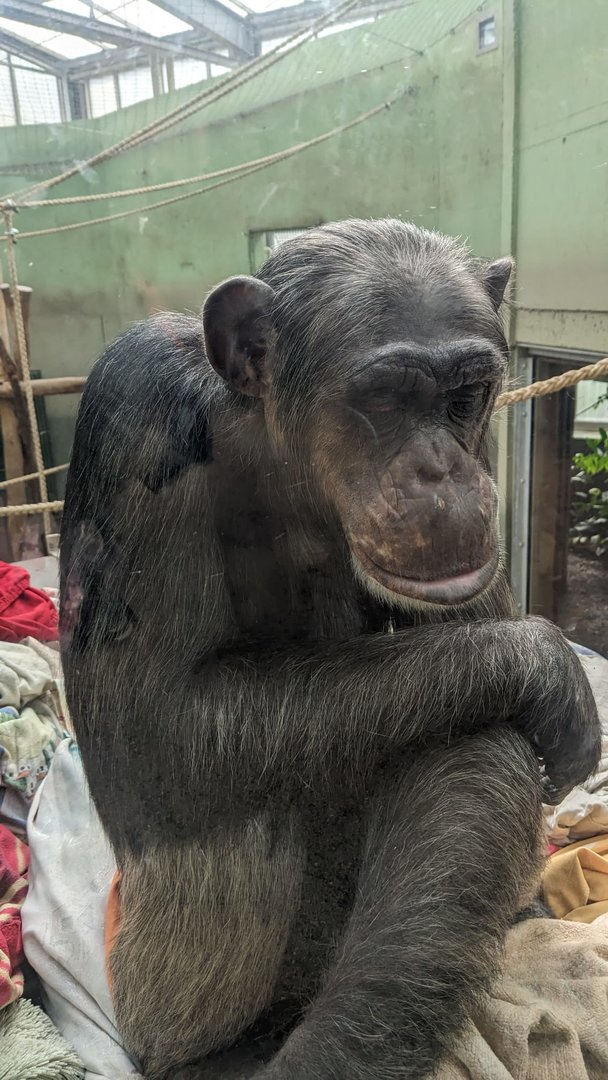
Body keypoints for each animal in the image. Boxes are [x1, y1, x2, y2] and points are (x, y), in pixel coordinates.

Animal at [59, 219, 601, 1080]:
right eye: (384, 398)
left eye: (462, 398)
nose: (441, 470)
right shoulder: (139, 404)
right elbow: (155, 725)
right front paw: (543, 663)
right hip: (142, 984)